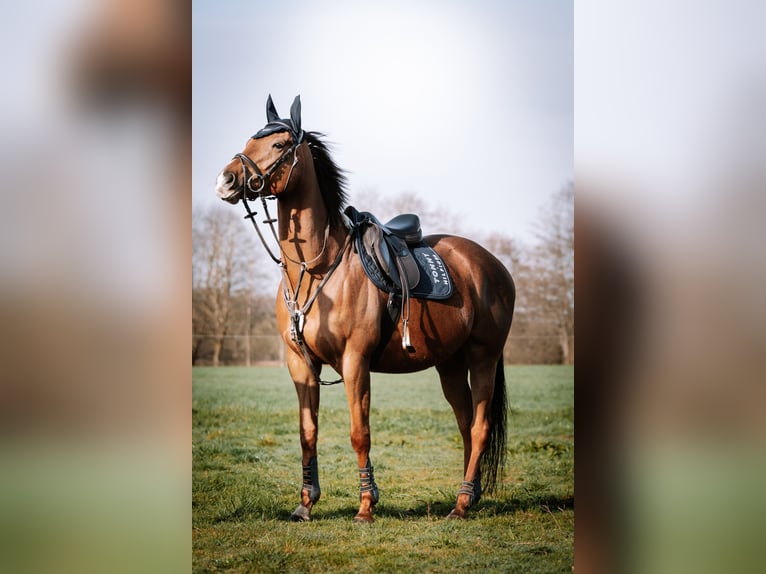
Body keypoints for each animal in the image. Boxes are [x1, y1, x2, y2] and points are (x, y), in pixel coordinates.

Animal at [216, 95, 516, 528]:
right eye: (249, 140)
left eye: (278, 145)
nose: (225, 180)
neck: (317, 269)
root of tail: (493, 265)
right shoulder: (300, 364)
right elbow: (308, 432)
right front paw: (306, 504)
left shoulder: (355, 360)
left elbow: (360, 433)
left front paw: (365, 505)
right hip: (450, 363)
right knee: (464, 423)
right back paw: (469, 495)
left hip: (483, 356)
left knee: (479, 426)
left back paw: (461, 504)